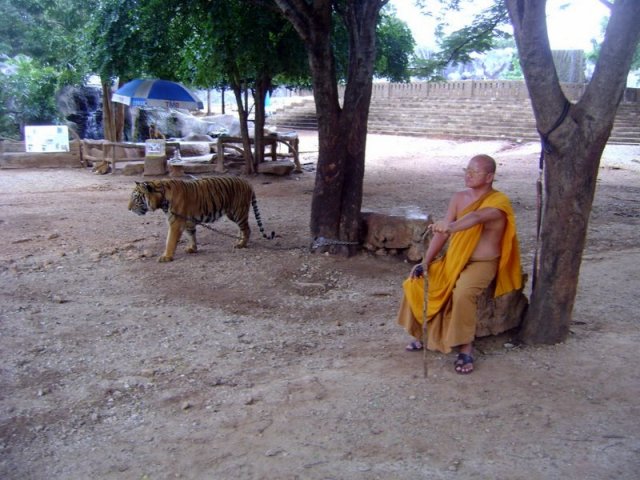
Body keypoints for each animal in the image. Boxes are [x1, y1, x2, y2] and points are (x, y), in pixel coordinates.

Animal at [127, 175, 272, 260]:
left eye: (135, 197)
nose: (128, 209)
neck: (162, 198)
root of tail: (248, 183)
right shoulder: (188, 221)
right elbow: (191, 235)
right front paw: (192, 248)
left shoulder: (175, 222)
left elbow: (170, 241)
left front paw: (166, 257)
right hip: (233, 213)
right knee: (241, 228)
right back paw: (238, 241)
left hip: (238, 211)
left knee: (247, 229)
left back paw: (242, 244)